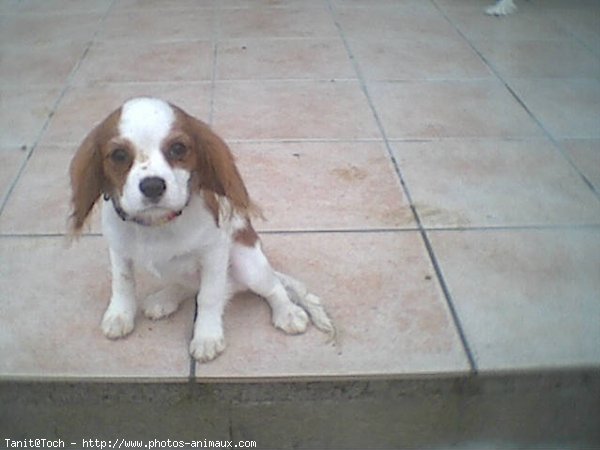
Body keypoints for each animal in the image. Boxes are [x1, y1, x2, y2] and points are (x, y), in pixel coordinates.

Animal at [70, 96, 336, 362]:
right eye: (119, 155)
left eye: (178, 149)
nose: (153, 186)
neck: (158, 223)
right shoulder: (118, 249)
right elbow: (122, 282)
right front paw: (119, 315)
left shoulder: (214, 252)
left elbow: (209, 296)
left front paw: (207, 337)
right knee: (187, 285)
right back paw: (165, 298)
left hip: (248, 264)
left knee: (272, 287)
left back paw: (287, 312)